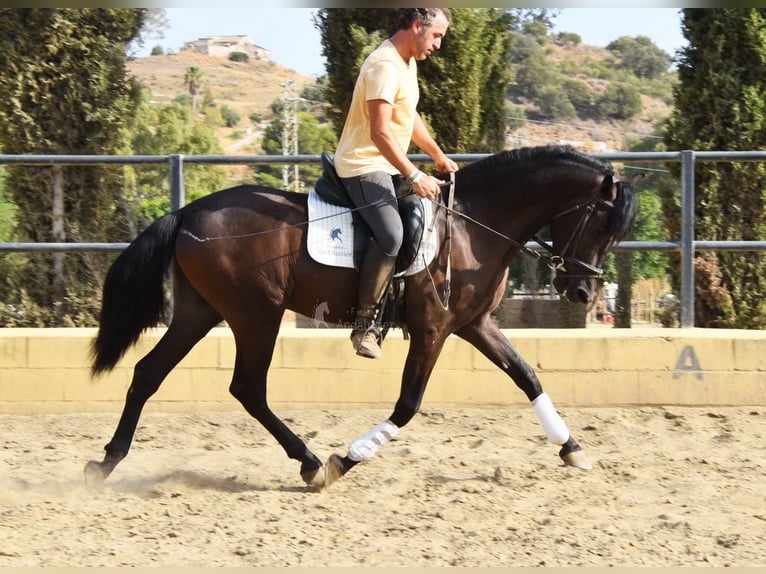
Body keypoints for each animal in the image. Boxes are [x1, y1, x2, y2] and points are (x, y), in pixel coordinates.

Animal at [84, 146, 644, 492]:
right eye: (600, 223)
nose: (581, 291)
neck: (474, 227)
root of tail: (186, 214)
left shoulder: (473, 324)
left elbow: (527, 376)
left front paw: (572, 448)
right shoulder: (433, 330)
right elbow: (408, 405)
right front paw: (345, 460)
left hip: (201, 313)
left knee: (149, 374)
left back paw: (106, 462)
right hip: (256, 315)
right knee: (247, 388)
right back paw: (312, 463)